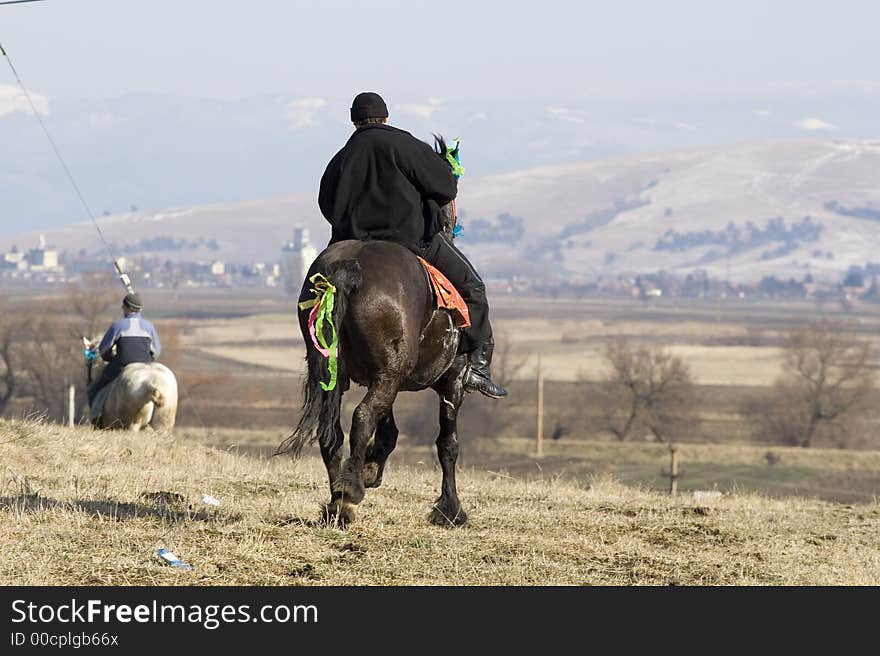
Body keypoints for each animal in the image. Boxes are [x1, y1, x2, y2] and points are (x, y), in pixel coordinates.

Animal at [280, 176, 474, 528]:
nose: (451, 223)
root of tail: (348, 268)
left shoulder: (384, 376)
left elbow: (390, 431)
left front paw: (372, 468)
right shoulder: (453, 380)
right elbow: (447, 444)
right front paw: (450, 509)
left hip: (347, 374)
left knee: (332, 430)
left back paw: (338, 498)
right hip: (391, 375)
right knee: (362, 416)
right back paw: (350, 493)